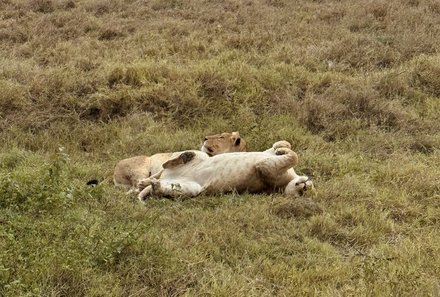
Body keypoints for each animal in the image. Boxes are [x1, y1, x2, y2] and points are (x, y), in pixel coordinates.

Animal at [138, 139, 312, 200]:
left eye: (303, 192)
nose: (305, 185)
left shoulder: (264, 167)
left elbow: (294, 156)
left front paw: (283, 150)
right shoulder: (266, 155)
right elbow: (286, 146)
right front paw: (281, 148)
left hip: (191, 188)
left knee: (160, 185)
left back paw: (153, 185)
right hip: (202, 156)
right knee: (162, 168)